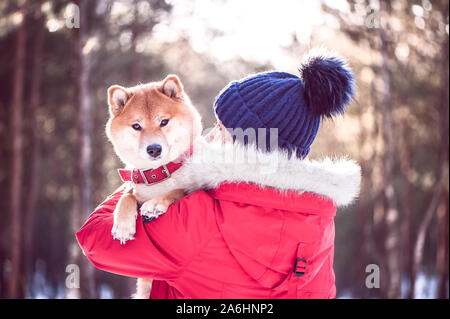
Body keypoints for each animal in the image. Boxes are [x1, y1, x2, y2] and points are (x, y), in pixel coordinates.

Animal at [105, 74, 202, 298]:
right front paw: (123, 225)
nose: (154, 149)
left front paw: (156, 204)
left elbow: (177, 190)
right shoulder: (134, 187)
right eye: (136, 126)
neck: (159, 174)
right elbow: (127, 197)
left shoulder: (190, 187)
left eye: (164, 122)